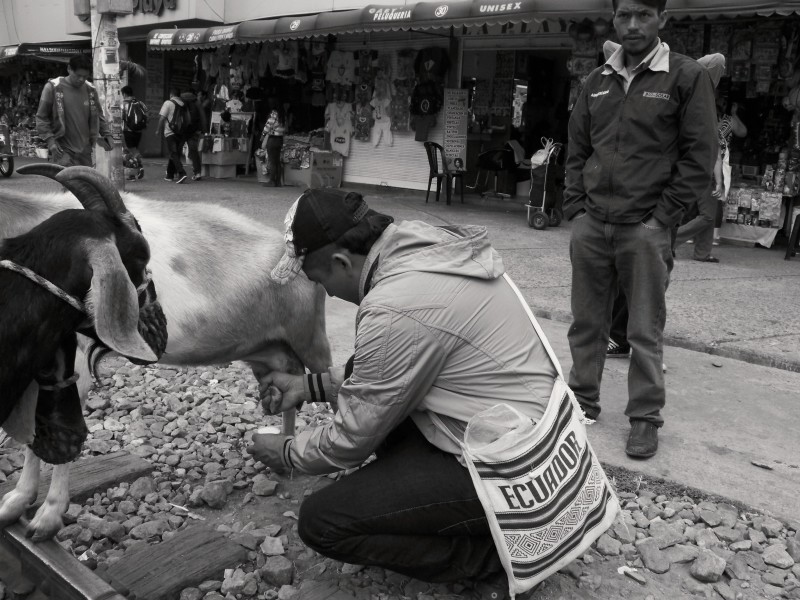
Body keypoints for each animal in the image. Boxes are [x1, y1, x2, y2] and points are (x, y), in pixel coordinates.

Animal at [0, 163, 332, 540]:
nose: (157, 333)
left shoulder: (72, 365)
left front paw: (48, 514)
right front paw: (17, 501)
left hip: (312, 339)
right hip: (270, 353)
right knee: (291, 390)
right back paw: (283, 453)